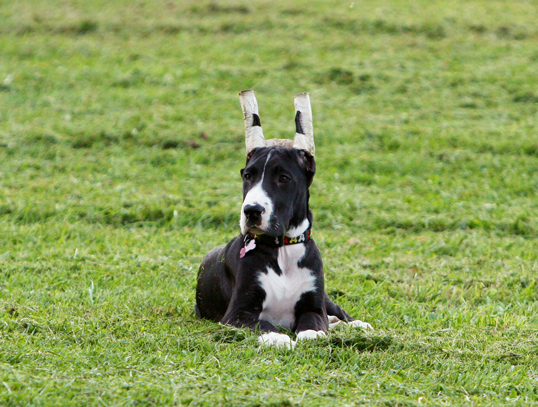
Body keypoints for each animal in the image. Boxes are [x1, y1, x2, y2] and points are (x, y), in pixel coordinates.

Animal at [195, 91, 370, 350]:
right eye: (248, 176)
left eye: (283, 178)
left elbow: (314, 324)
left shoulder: (313, 307)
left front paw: (311, 334)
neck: (282, 250)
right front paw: (277, 336)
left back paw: (356, 324)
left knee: (337, 312)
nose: (252, 211)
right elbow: (263, 323)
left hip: (327, 300)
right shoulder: (238, 313)